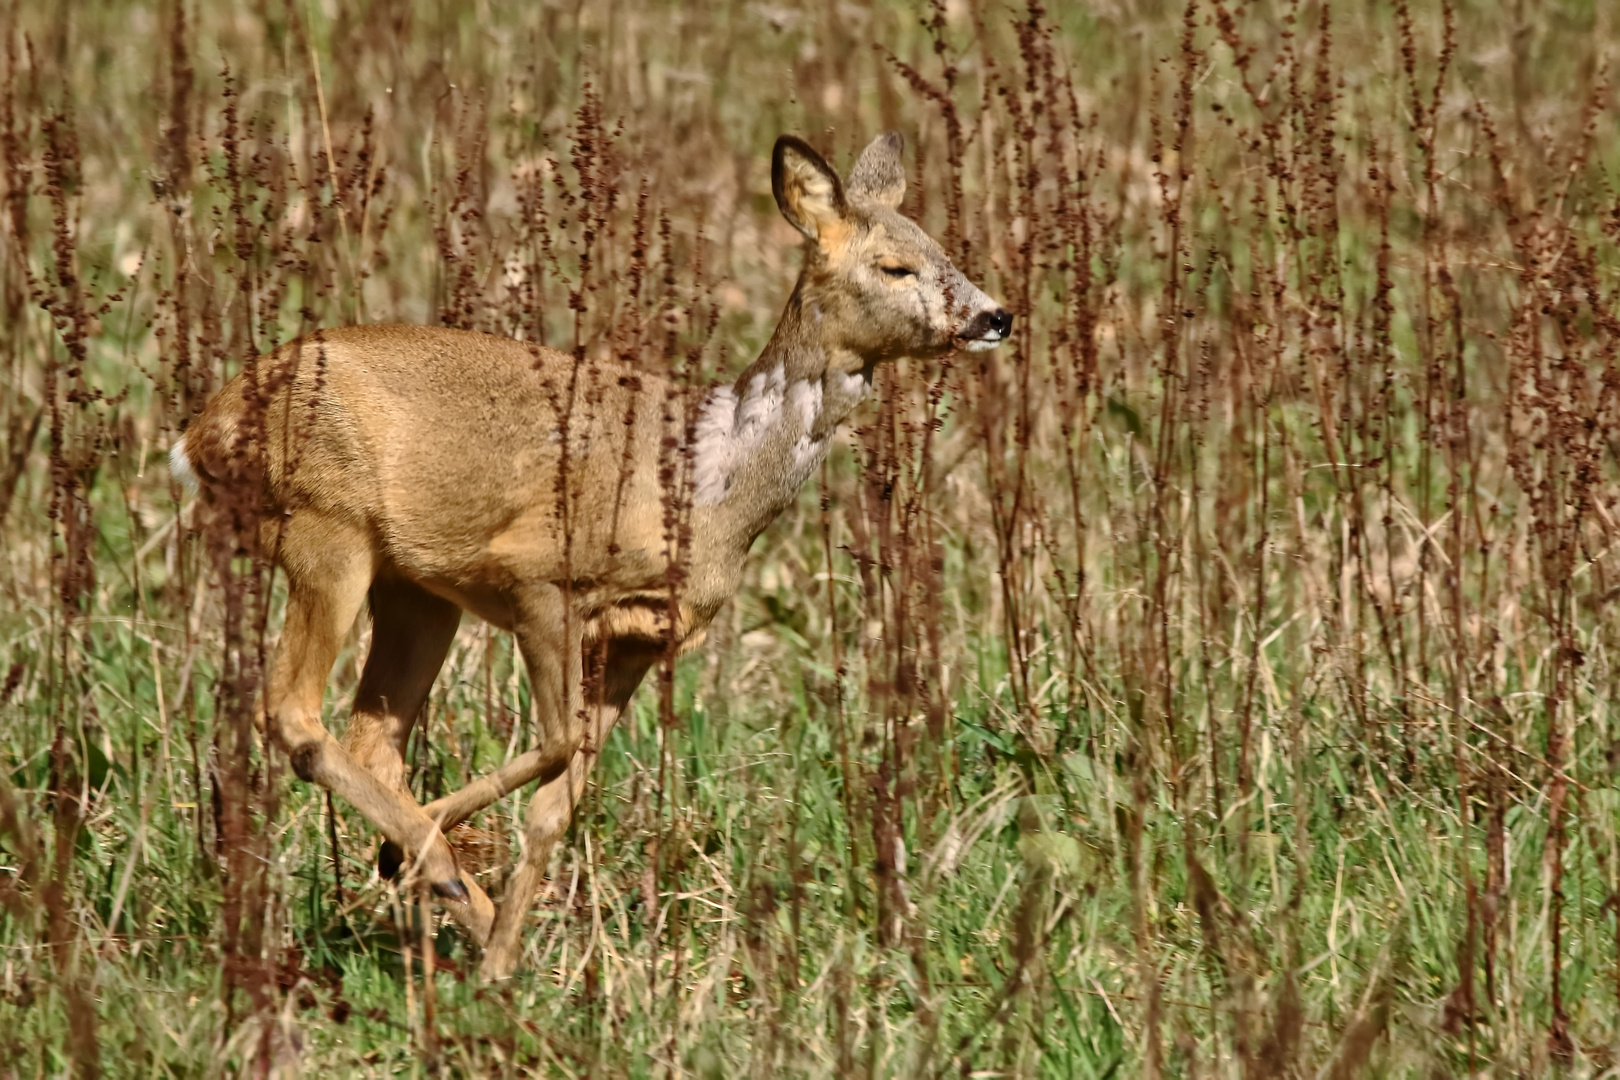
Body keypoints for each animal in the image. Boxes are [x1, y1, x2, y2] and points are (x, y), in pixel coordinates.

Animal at [177, 131, 1010, 977]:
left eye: (942, 248)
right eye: (894, 266)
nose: (995, 315)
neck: (705, 481)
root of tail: (203, 432)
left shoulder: (644, 640)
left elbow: (559, 801)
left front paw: (499, 963)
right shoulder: (539, 573)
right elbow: (558, 742)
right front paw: (440, 873)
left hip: (414, 587)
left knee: (372, 738)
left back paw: (448, 897)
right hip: (327, 527)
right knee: (292, 711)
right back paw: (434, 865)